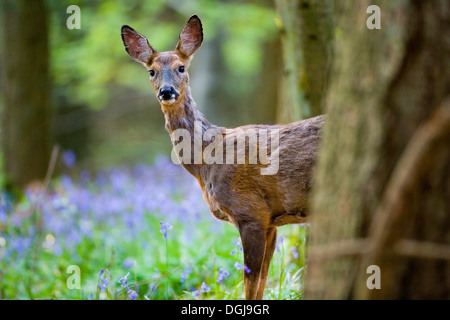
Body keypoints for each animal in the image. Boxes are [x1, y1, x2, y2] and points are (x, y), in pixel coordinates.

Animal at [121, 15, 326, 300]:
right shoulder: (271, 222)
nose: (167, 91)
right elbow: (261, 283)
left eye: (181, 67)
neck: (208, 160)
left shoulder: (251, 212)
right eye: (151, 71)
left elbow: (250, 283)